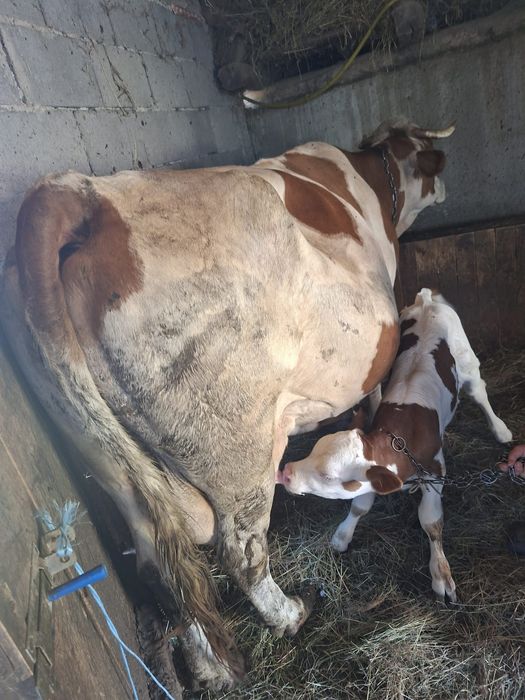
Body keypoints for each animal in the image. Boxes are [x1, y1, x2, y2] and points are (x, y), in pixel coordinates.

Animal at [1, 120, 454, 691]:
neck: (369, 176)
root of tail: (84, 194)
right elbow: (370, 402)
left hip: (112, 460)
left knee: (162, 556)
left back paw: (208, 667)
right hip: (236, 451)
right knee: (241, 552)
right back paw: (291, 613)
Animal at [279, 288, 512, 602]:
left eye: (328, 476)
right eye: (313, 449)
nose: (286, 471)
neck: (399, 440)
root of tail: (426, 300)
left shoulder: (436, 471)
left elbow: (431, 521)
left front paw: (440, 573)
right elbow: (360, 506)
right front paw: (343, 535)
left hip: (466, 360)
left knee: (480, 392)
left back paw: (500, 429)